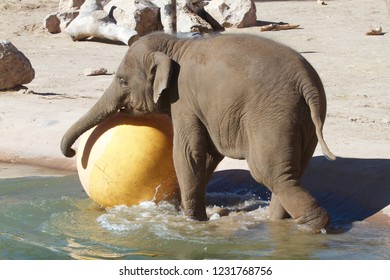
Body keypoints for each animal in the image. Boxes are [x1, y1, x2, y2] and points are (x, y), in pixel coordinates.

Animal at [61, 32, 336, 232]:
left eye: (122, 81)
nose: (72, 151)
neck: (175, 45)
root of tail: (307, 83)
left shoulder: (184, 98)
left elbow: (188, 152)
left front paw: (191, 222)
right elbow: (208, 154)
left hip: (273, 116)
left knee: (270, 173)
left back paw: (313, 227)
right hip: (306, 120)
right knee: (292, 172)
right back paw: (278, 222)